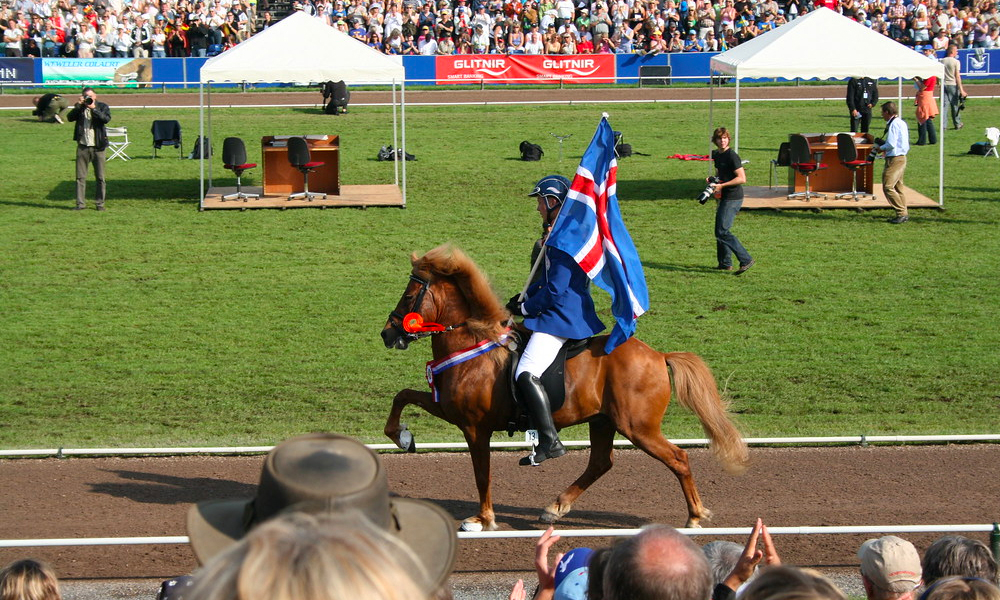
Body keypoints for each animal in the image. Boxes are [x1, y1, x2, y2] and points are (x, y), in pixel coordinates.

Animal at [382, 244, 752, 528]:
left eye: (410, 294)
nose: (388, 334)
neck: (473, 344)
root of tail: (658, 355)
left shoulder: (474, 427)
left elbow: (482, 474)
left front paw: (483, 519)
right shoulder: (448, 407)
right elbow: (403, 396)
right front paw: (401, 437)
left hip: (638, 427)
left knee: (678, 458)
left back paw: (695, 516)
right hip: (603, 421)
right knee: (601, 462)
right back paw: (555, 507)